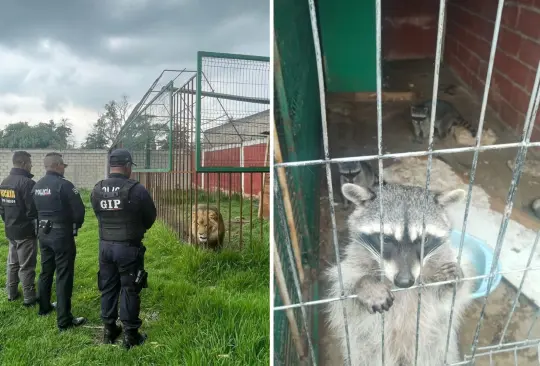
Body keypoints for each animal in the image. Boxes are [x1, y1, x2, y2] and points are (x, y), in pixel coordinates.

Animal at [324, 184, 472, 366]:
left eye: (424, 240)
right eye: (386, 239)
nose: (404, 282)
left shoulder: (441, 260)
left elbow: (449, 299)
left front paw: (454, 278)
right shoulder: (353, 262)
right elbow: (343, 296)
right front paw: (366, 284)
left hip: (435, 349)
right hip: (368, 353)